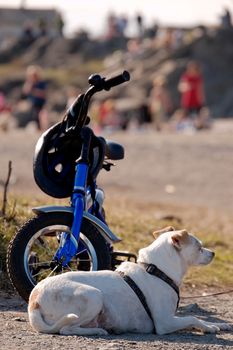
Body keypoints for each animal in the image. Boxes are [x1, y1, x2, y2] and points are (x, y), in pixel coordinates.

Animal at [27, 227, 231, 336]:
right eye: (199, 247)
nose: (213, 253)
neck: (157, 270)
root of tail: (34, 301)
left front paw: (220, 325)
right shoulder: (165, 323)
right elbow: (192, 318)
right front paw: (209, 327)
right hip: (94, 296)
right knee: (65, 329)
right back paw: (98, 331)